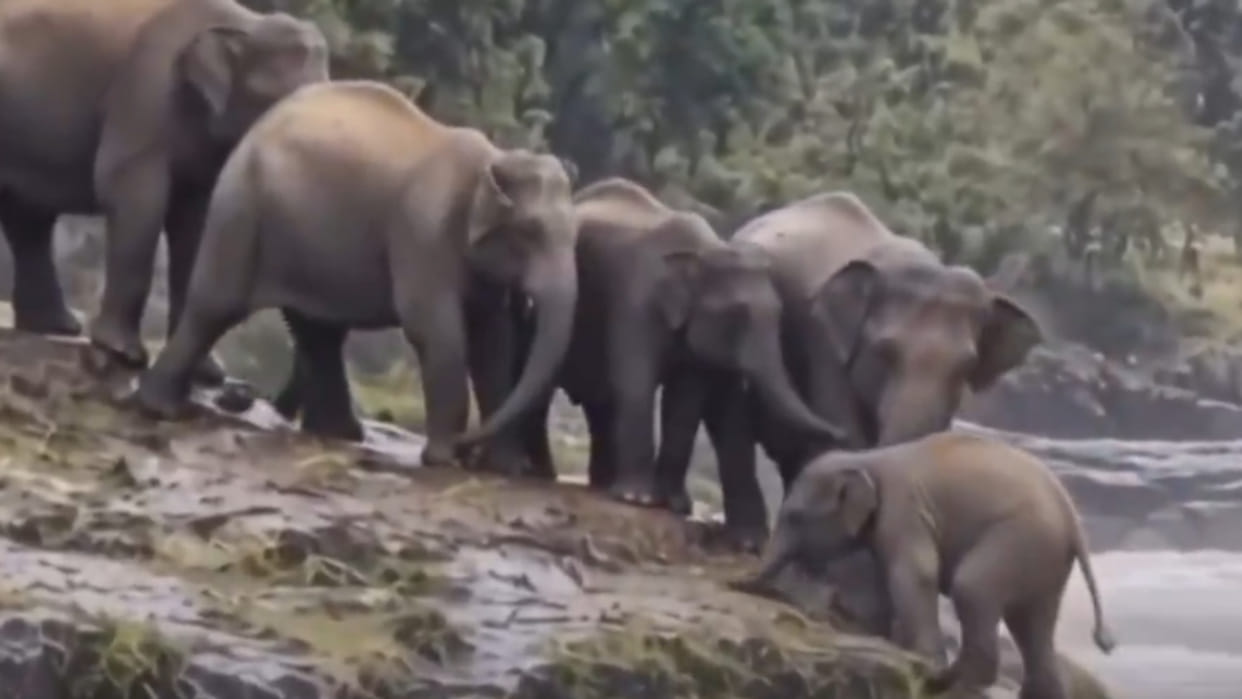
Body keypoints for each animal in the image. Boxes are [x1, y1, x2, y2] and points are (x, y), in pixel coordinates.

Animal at [0, 0, 329, 381]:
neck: (245, 22)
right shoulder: (147, 89)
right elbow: (131, 191)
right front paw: (121, 353)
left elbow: (195, 220)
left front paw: (207, 373)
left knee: (27, 218)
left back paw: (57, 327)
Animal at [131, 79, 580, 471]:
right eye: (531, 233)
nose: (467, 447)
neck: (495, 159)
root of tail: (258, 126)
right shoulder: (423, 233)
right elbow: (436, 330)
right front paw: (442, 460)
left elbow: (494, 340)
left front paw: (506, 469)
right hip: (242, 207)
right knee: (218, 306)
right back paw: (158, 408)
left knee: (319, 330)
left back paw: (340, 434)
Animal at [511, 177, 844, 524]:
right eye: (737, 314)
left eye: (780, 314)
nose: (841, 433)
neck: (703, 251)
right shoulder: (637, 301)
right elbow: (635, 381)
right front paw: (638, 499)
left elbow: (685, 398)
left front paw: (673, 505)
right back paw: (546, 474)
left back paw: (600, 484)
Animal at [731, 431, 1117, 699]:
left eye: (795, 517)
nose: (738, 582)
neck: (866, 459)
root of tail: (1072, 519)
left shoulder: (903, 509)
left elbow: (914, 573)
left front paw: (919, 662)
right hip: (1045, 560)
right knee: (1032, 624)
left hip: (1019, 538)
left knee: (972, 589)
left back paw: (947, 681)